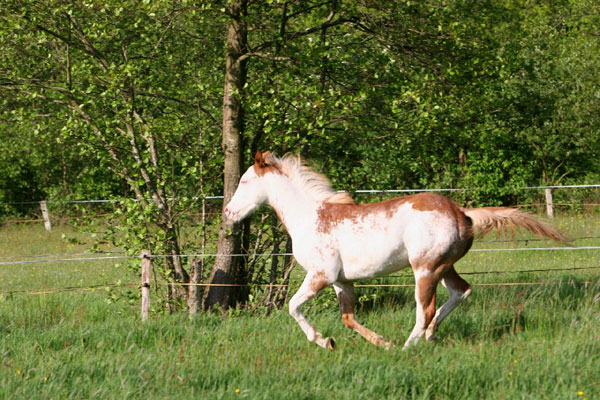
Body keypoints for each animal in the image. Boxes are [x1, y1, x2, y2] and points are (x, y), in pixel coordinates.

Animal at [224, 151, 568, 350]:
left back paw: (409, 346)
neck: (309, 218)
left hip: (425, 269)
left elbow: (293, 307)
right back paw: (429, 336)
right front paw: (376, 343)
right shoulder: (342, 281)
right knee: (461, 291)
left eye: (244, 181)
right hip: (445, 266)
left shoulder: (321, 275)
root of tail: (462, 212)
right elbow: (348, 318)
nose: (228, 212)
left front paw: (322, 341)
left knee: (425, 308)